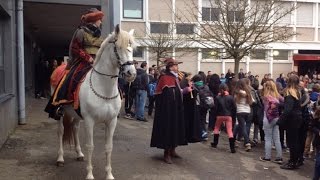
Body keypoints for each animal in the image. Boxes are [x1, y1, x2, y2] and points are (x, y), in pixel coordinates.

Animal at [56, 25, 136, 180]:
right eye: (118, 47)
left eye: (132, 49)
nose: (132, 73)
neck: (104, 89)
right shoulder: (89, 121)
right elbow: (90, 146)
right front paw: (89, 174)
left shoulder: (111, 121)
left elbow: (109, 147)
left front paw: (109, 175)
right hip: (60, 113)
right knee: (61, 131)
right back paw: (60, 159)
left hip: (75, 114)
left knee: (74, 128)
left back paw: (79, 154)